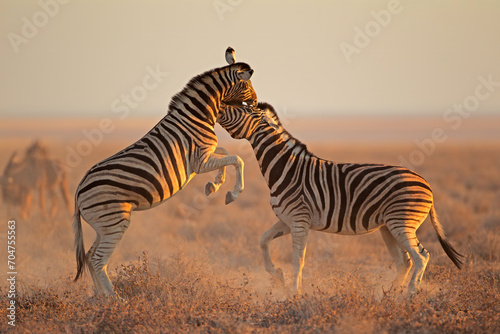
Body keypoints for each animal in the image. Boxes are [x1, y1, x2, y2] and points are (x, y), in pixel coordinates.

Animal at [73, 55, 258, 298]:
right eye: (248, 85)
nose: (256, 103)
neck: (196, 116)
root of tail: (77, 192)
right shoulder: (200, 161)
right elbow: (237, 159)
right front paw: (232, 193)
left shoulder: (206, 155)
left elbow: (226, 152)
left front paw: (214, 185)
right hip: (114, 222)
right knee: (97, 260)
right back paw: (115, 300)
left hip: (101, 225)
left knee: (88, 256)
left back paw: (99, 298)